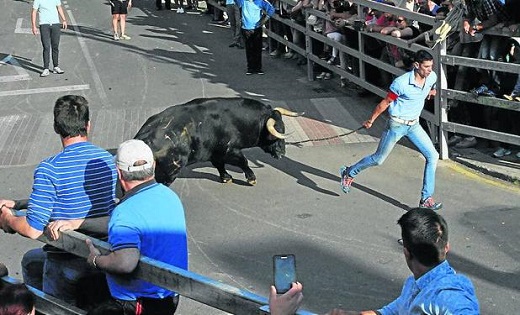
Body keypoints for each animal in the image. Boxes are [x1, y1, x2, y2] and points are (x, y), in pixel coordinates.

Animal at [134, 96, 302, 185]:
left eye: (283, 127)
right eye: (276, 132)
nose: (282, 152)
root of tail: (144, 138)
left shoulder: (215, 153)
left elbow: (219, 165)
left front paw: (226, 177)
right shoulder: (230, 150)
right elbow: (243, 162)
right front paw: (251, 178)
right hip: (169, 173)